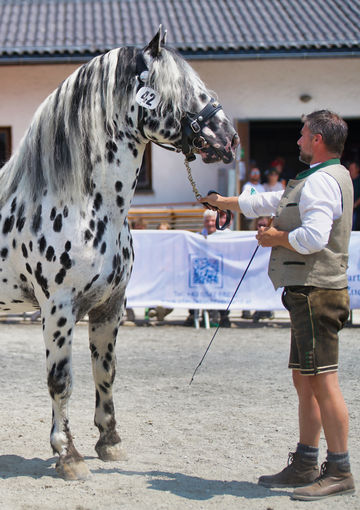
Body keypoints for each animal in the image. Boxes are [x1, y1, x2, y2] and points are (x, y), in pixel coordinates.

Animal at [0, 27, 239, 478]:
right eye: (182, 88)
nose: (229, 138)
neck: (80, 202)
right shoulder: (57, 309)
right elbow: (61, 380)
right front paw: (68, 455)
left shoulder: (110, 306)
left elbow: (105, 372)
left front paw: (109, 441)